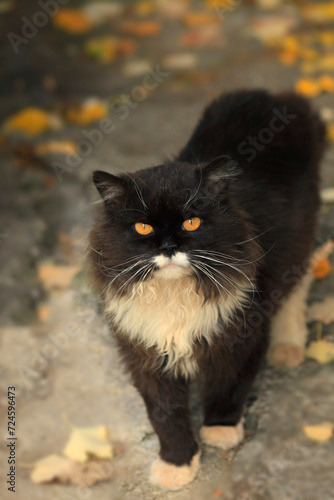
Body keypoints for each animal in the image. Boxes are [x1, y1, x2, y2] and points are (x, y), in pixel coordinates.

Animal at [88, 89, 326, 488]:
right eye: (143, 228)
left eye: (192, 222)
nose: (169, 247)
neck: (175, 296)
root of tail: (280, 98)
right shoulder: (146, 354)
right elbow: (165, 416)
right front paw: (176, 465)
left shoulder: (244, 332)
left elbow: (228, 386)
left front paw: (220, 431)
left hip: (299, 239)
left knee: (299, 284)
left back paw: (289, 347)